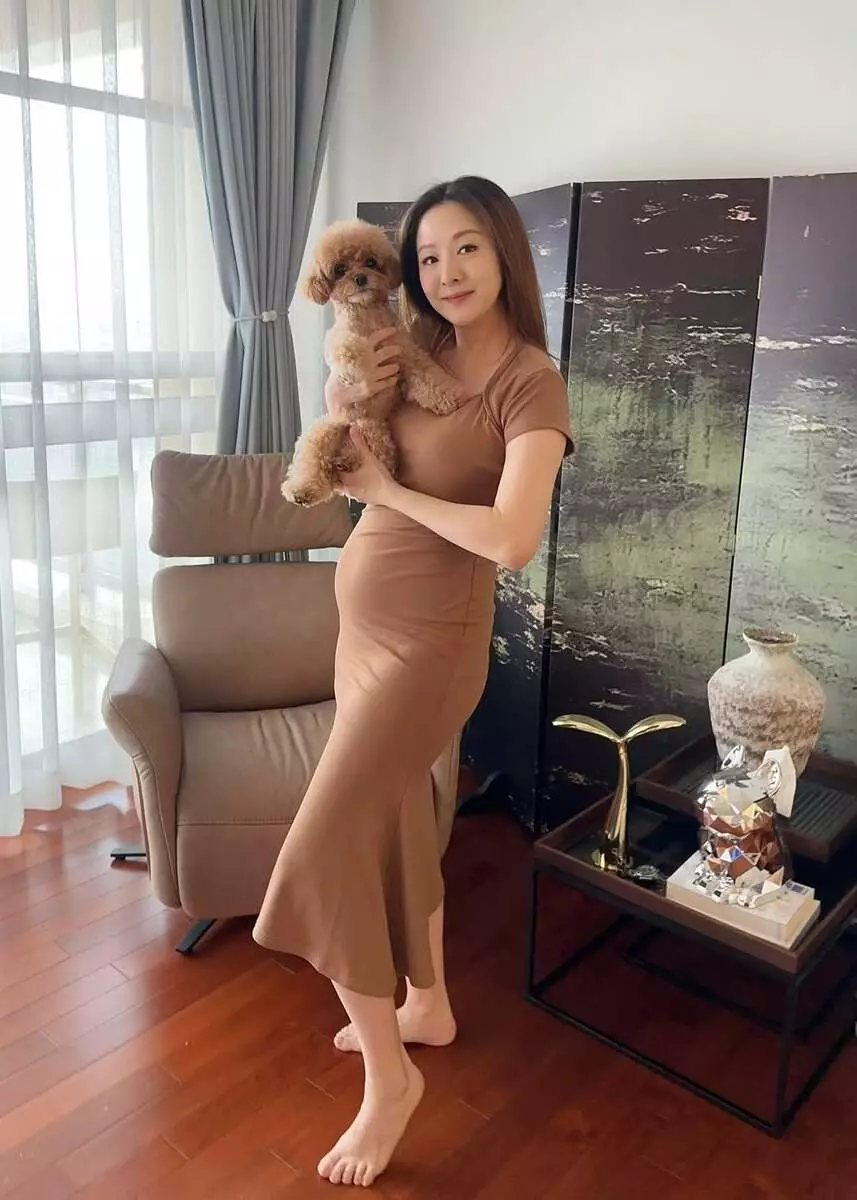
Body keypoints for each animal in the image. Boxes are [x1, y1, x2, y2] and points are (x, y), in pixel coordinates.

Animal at [281, 219, 464, 507]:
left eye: (371, 262)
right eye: (340, 269)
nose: (360, 278)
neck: (367, 317)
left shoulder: (407, 354)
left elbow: (428, 376)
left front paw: (451, 396)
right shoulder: (338, 341)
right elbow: (349, 348)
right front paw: (366, 363)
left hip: (373, 430)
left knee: (371, 458)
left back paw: (345, 463)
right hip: (327, 426)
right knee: (314, 459)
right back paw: (302, 488)